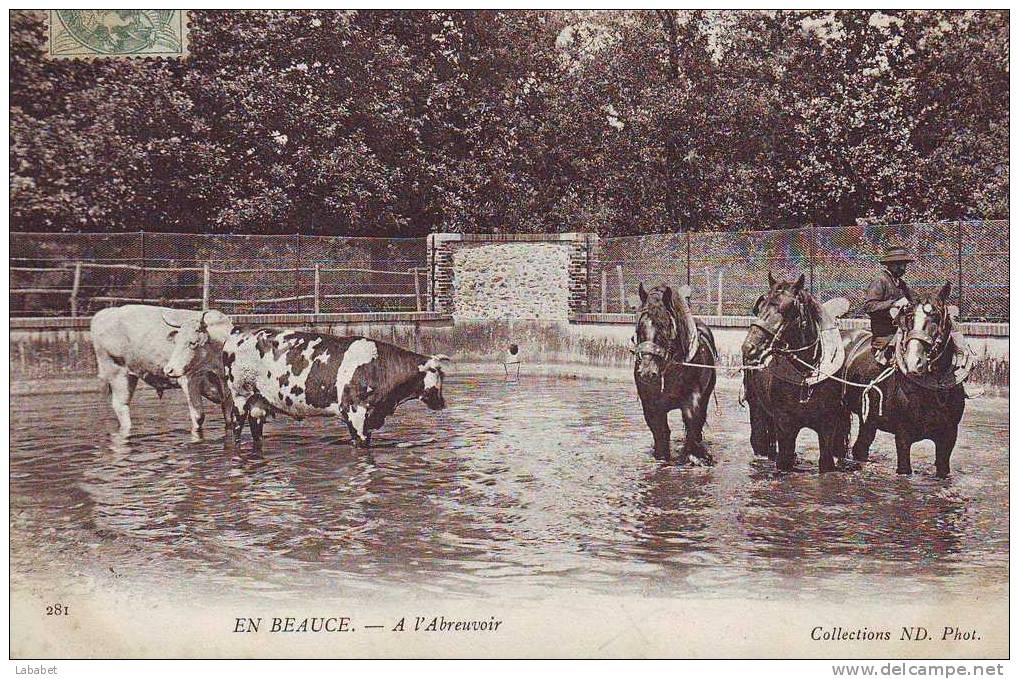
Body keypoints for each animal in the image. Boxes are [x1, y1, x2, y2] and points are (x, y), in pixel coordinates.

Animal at [89, 303, 233, 436]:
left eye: (193, 343)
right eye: (176, 342)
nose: (169, 369)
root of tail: (105, 313)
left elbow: (229, 417)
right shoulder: (189, 380)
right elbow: (198, 416)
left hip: (130, 376)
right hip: (117, 373)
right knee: (121, 406)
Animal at [221, 326, 448, 446]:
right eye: (437, 372)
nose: (442, 402)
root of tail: (240, 332)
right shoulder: (354, 412)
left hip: (258, 402)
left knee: (256, 433)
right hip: (240, 396)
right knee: (236, 430)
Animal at [631, 283, 721, 462]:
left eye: (665, 326)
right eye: (640, 327)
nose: (647, 372)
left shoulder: (692, 397)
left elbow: (692, 420)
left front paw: (693, 454)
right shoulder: (650, 405)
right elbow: (660, 432)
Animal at [737, 273, 855, 473]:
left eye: (788, 307)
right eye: (760, 305)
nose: (749, 347)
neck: (806, 376)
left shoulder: (828, 424)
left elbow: (826, 460)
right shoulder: (785, 425)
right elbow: (784, 458)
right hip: (757, 406)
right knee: (759, 440)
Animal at [839, 277, 966, 473]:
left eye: (936, 317)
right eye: (909, 318)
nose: (914, 362)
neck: (934, 390)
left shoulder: (948, 437)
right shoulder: (903, 436)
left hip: (868, 419)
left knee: (860, 447)